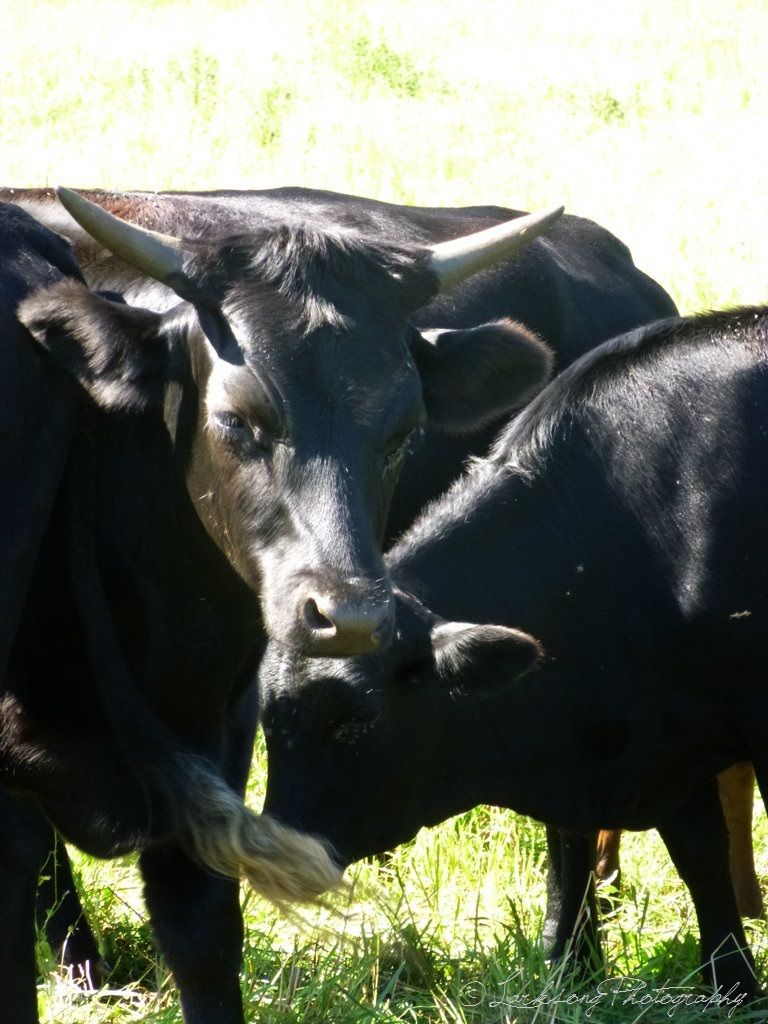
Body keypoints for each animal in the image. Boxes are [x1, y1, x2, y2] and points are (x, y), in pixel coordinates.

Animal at [258, 306, 768, 1001]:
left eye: (356, 722)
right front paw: (578, 968)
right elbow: (631, 857)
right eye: (267, 721)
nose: (272, 859)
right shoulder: (658, 736)